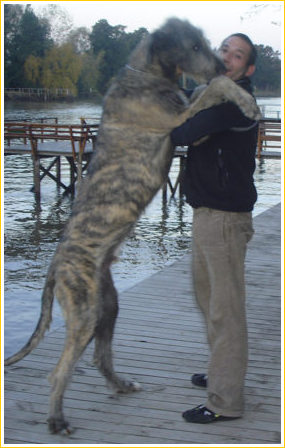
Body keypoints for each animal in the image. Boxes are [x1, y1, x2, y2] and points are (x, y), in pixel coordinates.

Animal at [5, 18, 260, 434]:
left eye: (212, 44)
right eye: (194, 45)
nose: (223, 64)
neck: (147, 75)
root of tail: (56, 266)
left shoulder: (189, 116)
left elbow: (205, 89)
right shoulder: (178, 121)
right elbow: (213, 89)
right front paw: (246, 100)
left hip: (107, 306)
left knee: (99, 356)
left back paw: (121, 383)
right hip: (83, 310)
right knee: (60, 370)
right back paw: (57, 419)